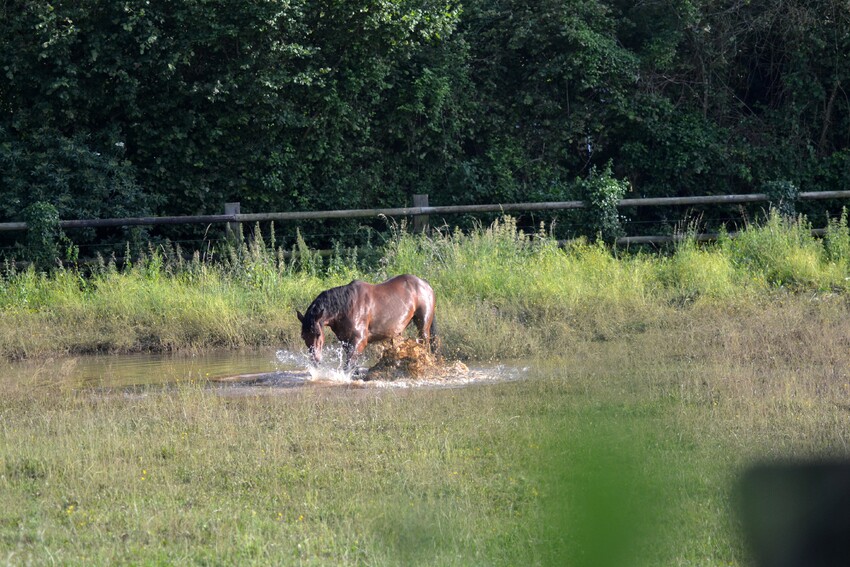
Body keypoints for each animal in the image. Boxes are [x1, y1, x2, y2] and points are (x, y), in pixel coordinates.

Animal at [296, 274, 438, 368]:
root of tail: (424, 283)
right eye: (303, 336)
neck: (346, 306)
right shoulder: (346, 342)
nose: (315, 360)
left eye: (318, 334)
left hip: (423, 326)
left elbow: (348, 365)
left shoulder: (359, 340)